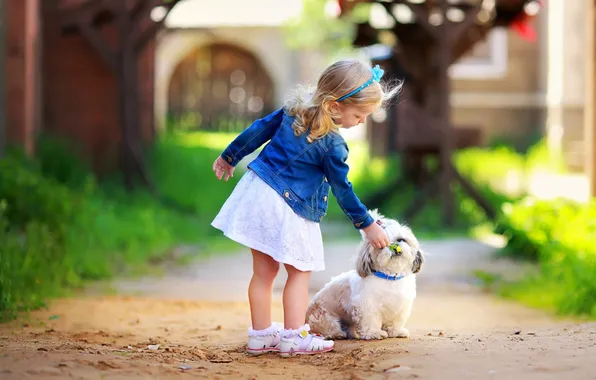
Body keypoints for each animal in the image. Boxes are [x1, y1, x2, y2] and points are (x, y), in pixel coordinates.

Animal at [308, 211, 424, 342]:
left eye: (401, 240)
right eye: (381, 245)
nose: (394, 246)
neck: (390, 277)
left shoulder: (401, 305)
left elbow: (396, 321)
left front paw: (396, 331)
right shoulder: (367, 304)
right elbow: (371, 320)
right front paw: (374, 333)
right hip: (322, 317)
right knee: (327, 328)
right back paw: (336, 334)